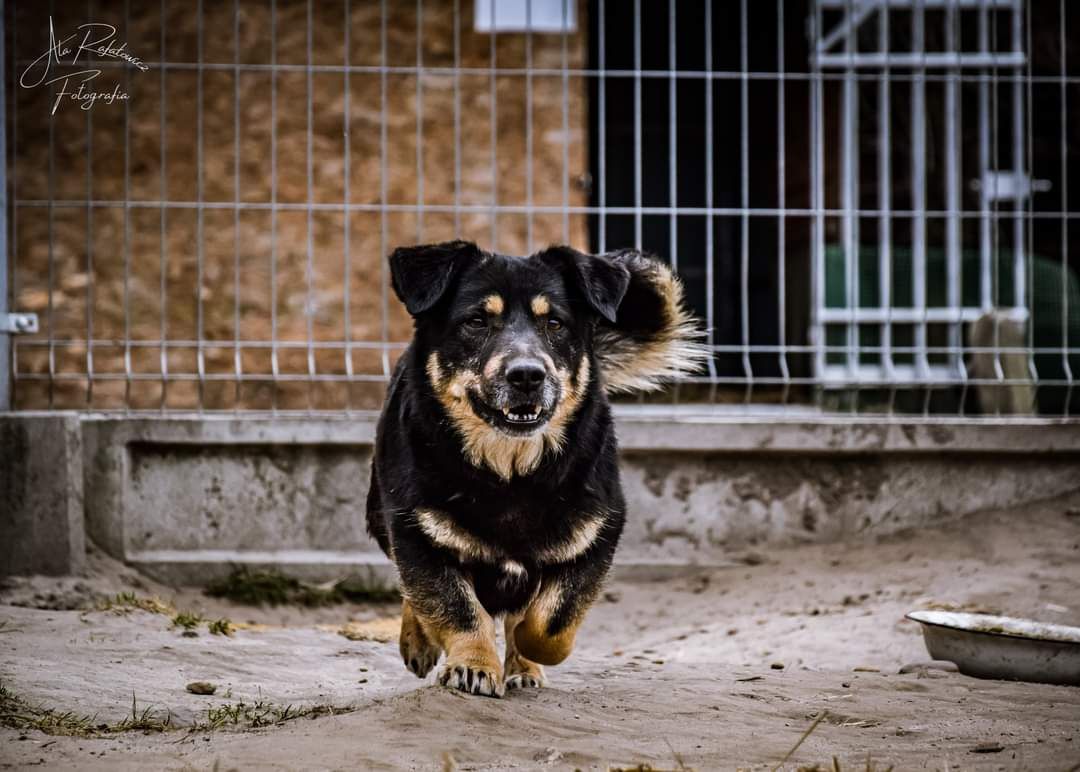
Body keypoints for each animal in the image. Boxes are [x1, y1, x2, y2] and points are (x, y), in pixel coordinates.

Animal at [369, 242, 708, 699]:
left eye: (554, 323)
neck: (511, 473)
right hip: (380, 516)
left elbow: (550, 620)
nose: (527, 375)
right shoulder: (415, 531)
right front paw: (473, 664)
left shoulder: (596, 533)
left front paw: (528, 653)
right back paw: (419, 641)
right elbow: (455, 606)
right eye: (476, 321)